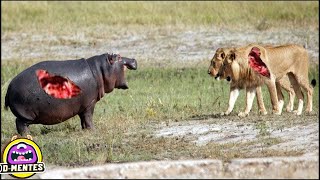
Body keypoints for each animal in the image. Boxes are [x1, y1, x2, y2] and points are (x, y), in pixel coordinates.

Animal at [4, 53, 138, 135]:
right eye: (119, 57)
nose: (133, 59)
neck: (100, 70)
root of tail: (9, 87)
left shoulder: (83, 106)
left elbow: (83, 119)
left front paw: (85, 130)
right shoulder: (90, 104)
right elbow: (89, 117)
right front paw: (93, 130)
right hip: (26, 115)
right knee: (20, 124)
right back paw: (28, 136)